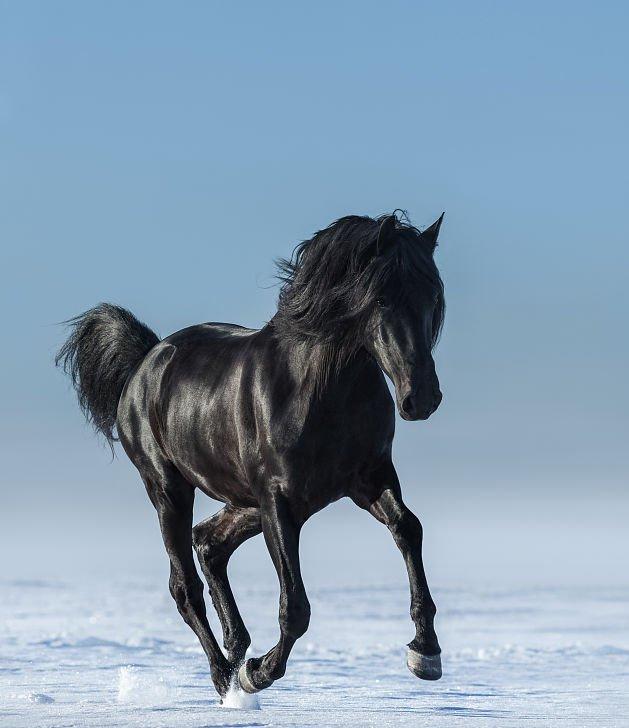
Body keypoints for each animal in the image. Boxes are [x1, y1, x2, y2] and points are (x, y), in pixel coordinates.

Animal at [55, 209, 446, 692]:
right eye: (383, 300)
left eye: (433, 295)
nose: (421, 398)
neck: (319, 390)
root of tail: (146, 360)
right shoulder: (279, 499)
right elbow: (295, 606)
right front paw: (259, 672)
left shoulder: (369, 478)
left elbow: (408, 528)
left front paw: (425, 652)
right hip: (170, 489)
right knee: (184, 585)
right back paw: (228, 679)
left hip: (247, 501)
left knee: (209, 543)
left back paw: (236, 647)